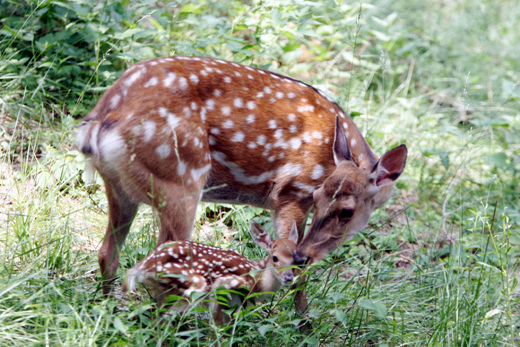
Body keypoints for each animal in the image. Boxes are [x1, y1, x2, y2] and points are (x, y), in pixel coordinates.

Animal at [76, 56, 406, 300]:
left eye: (346, 211)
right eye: (318, 196)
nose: (307, 254)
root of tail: (101, 121)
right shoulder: (292, 192)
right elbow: (288, 261)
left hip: (120, 187)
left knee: (107, 253)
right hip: (179, 180)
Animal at [122, 222, 298, 324]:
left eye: (298, 260)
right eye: (275, 258)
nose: (288, 277)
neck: (256, 282)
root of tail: (141, 267)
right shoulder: (224, 285)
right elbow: (217, 325)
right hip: (189, 285)